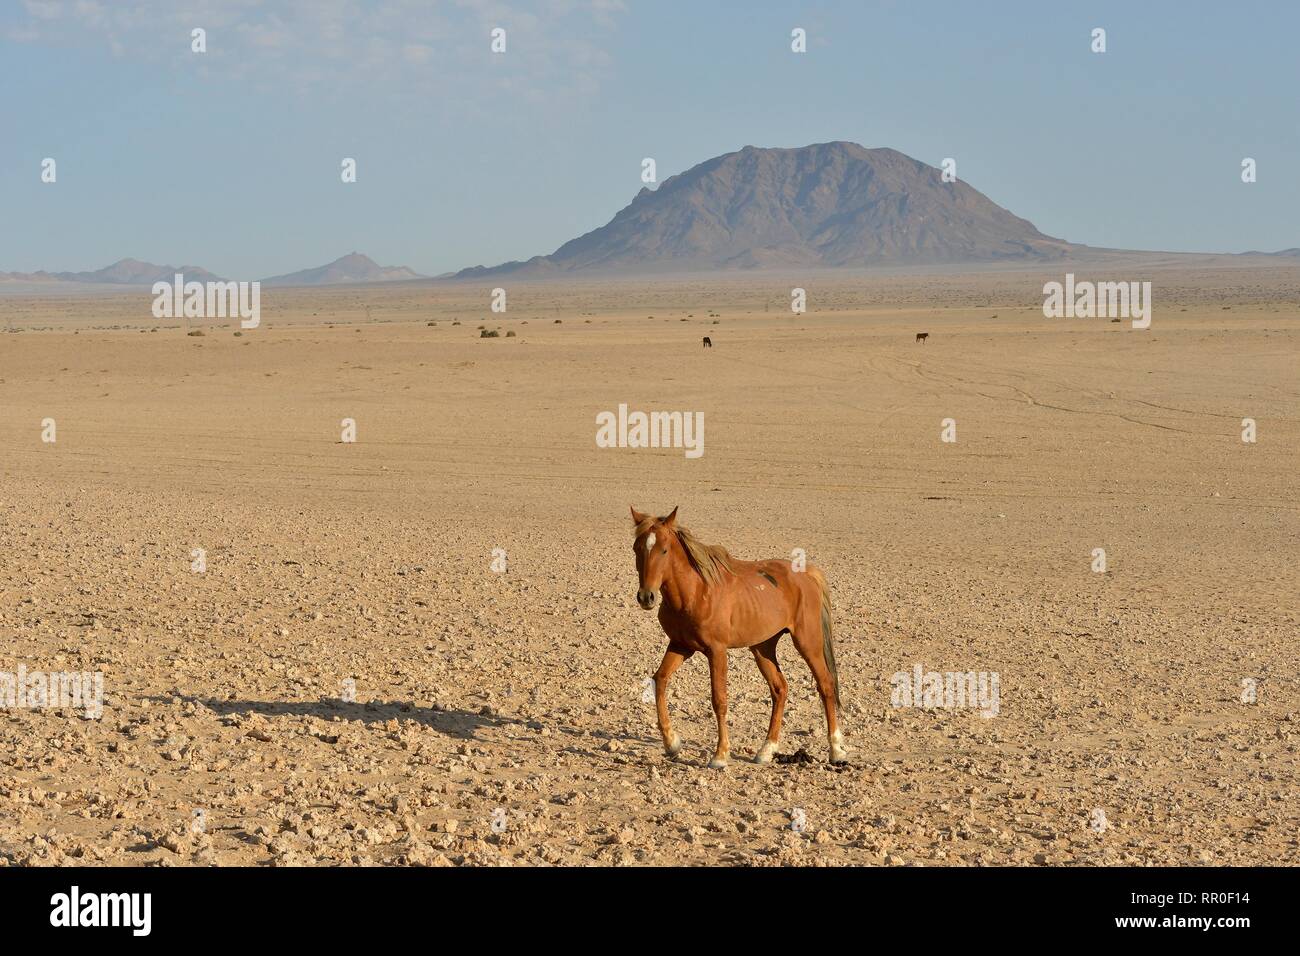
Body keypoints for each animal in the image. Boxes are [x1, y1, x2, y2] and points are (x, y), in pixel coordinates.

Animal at [626, 504, 847, 764]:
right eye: (636, 548)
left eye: (664, 549)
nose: (646, 596)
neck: (696, 591)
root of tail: (807, 573)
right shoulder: (680, 645)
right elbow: (659, 680)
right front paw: (672, 743)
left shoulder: (717, 651)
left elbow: (719, 699)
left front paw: (720, 754)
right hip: (763, 647)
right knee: (780, 689)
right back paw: (767, 749)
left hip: (807, 641)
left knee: (825, 684)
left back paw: (836, 750)